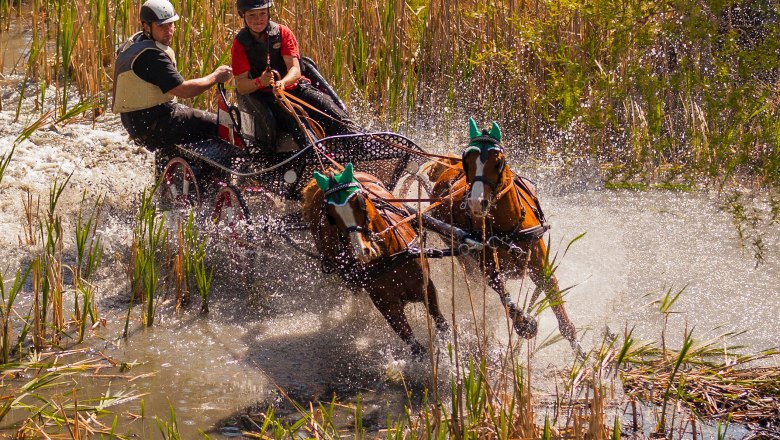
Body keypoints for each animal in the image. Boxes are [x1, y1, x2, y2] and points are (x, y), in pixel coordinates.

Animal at [304, 163, 450, 356]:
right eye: (330, 215)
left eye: (360, 201)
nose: (363, 251)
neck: (391, 258)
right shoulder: (387, 306)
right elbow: (415, 347)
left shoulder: (426, 287)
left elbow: (442, 324)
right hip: (347, 278)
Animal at [426, 118, 580, 356]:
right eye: (467, 161)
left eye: (498, 163)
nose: (475, 203)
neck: (509, 227)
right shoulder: (487, 262)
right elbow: (501, 291)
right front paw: (524, 323)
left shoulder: (542, 267)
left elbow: (561, 313)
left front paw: (581, 353)